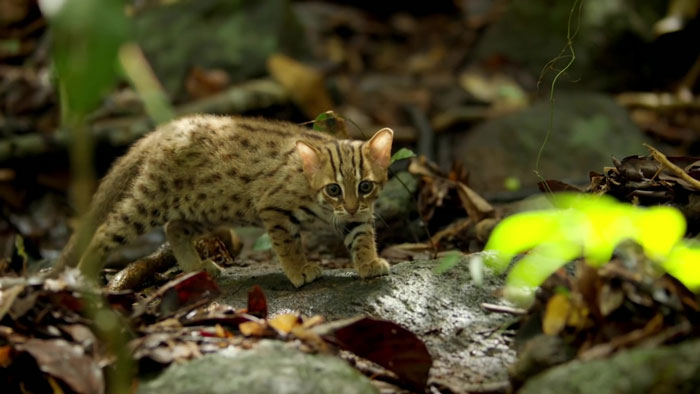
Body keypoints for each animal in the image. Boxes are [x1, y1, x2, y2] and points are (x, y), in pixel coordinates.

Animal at [56, 114, 392, 286]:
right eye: (333, 189)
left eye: (365, 186)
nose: (350, 205)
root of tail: (165, 129)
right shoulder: (273, 208)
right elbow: (288, 245)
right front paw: (299, 270)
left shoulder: (359, 216)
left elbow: (362, 236)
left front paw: (368, 262)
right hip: (151, 201)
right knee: (105, 230)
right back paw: (85, 276)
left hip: (208, 208)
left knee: (173, 228)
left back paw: (195, 267)